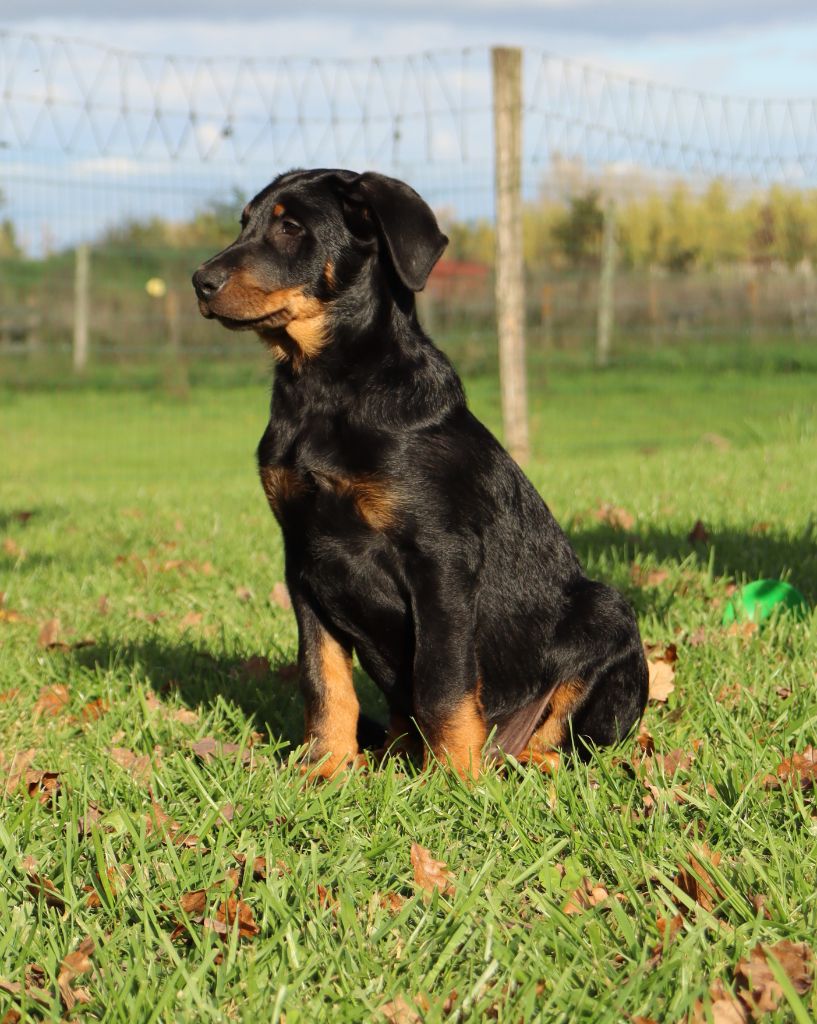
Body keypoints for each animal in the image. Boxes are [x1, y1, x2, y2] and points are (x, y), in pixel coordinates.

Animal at [195, 169, 651, 774]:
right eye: (243, 223)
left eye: (290, 227)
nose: (199, 282)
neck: (325, 390)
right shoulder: (303, 559)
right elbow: (324, 678)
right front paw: (326, 769)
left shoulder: (440, 558)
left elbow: (442, 682)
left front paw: (456, 779)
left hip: (607, 612)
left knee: (574, 743)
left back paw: (514, 763)